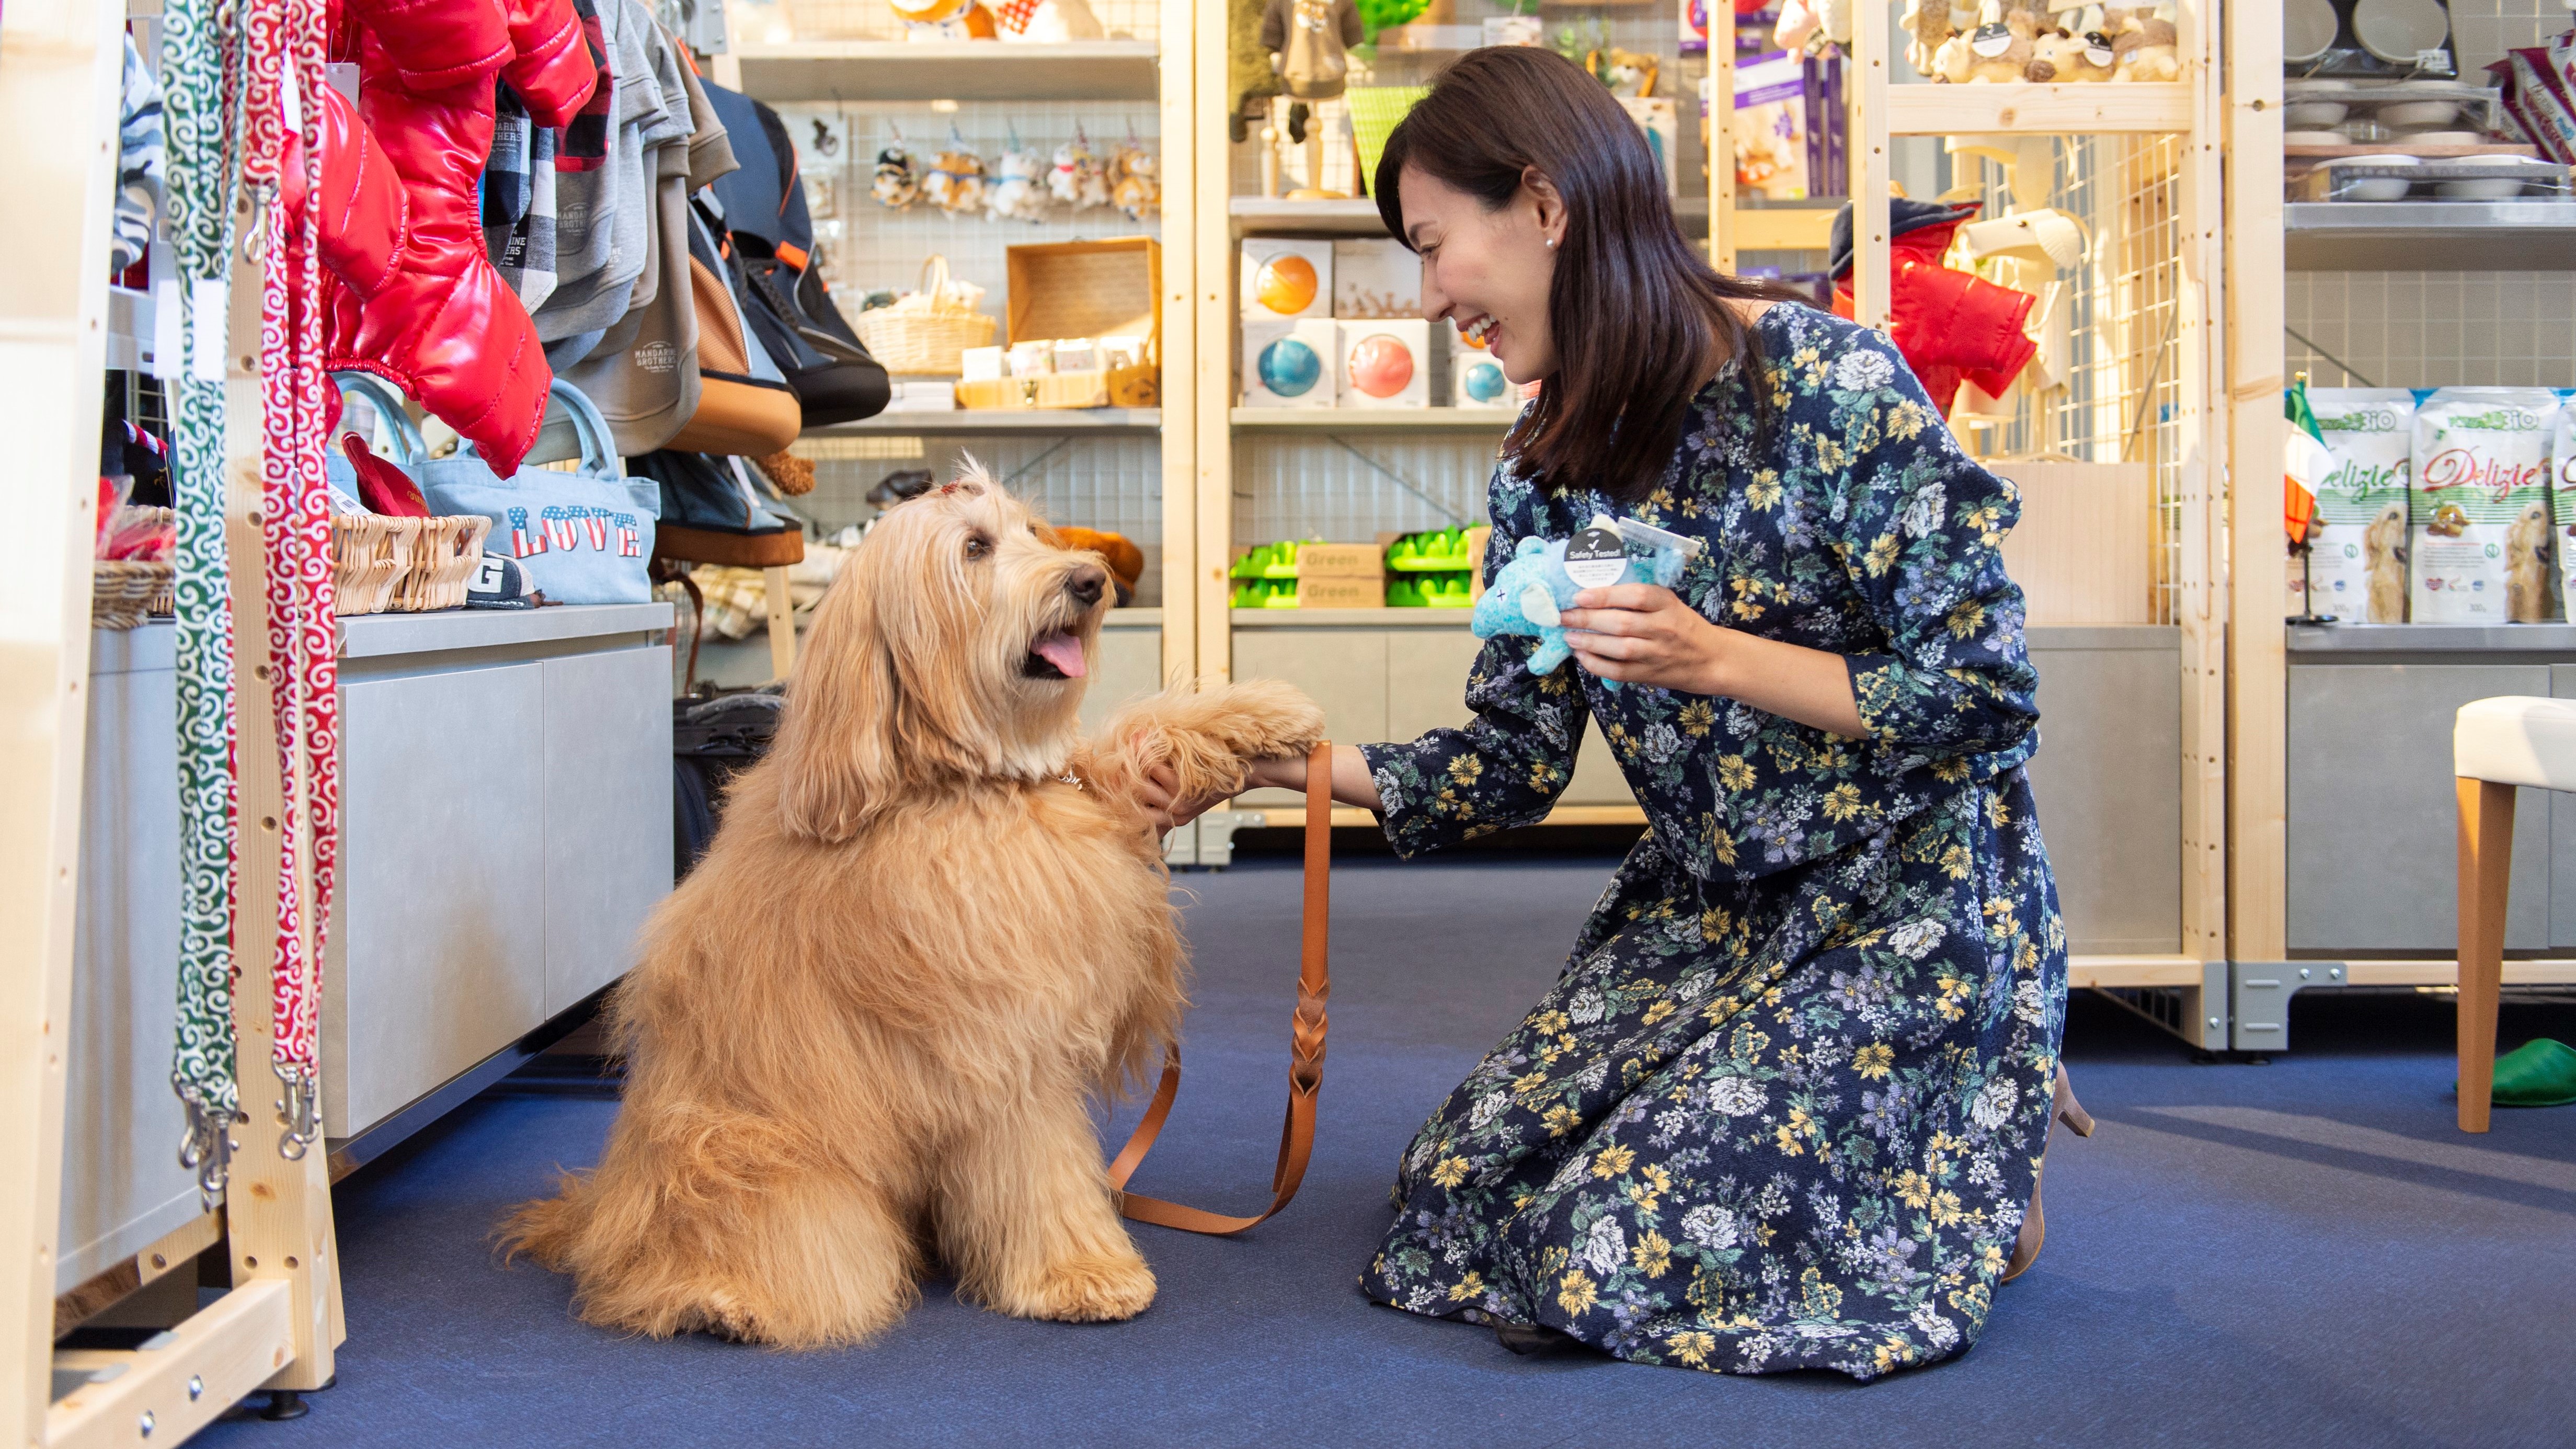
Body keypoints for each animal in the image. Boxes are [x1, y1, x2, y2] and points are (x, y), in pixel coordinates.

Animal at [497, 461, 1329, 1340]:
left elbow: (1137, 734)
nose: (1089, 579)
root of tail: (600, 1209)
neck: (958, 781)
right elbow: (1042, 1167)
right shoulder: (999, 1047)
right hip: (760, 1164)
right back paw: (722, 1297)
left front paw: (1266, 712)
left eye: (1032, 531)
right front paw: (1080, 1271)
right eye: (974, 548)